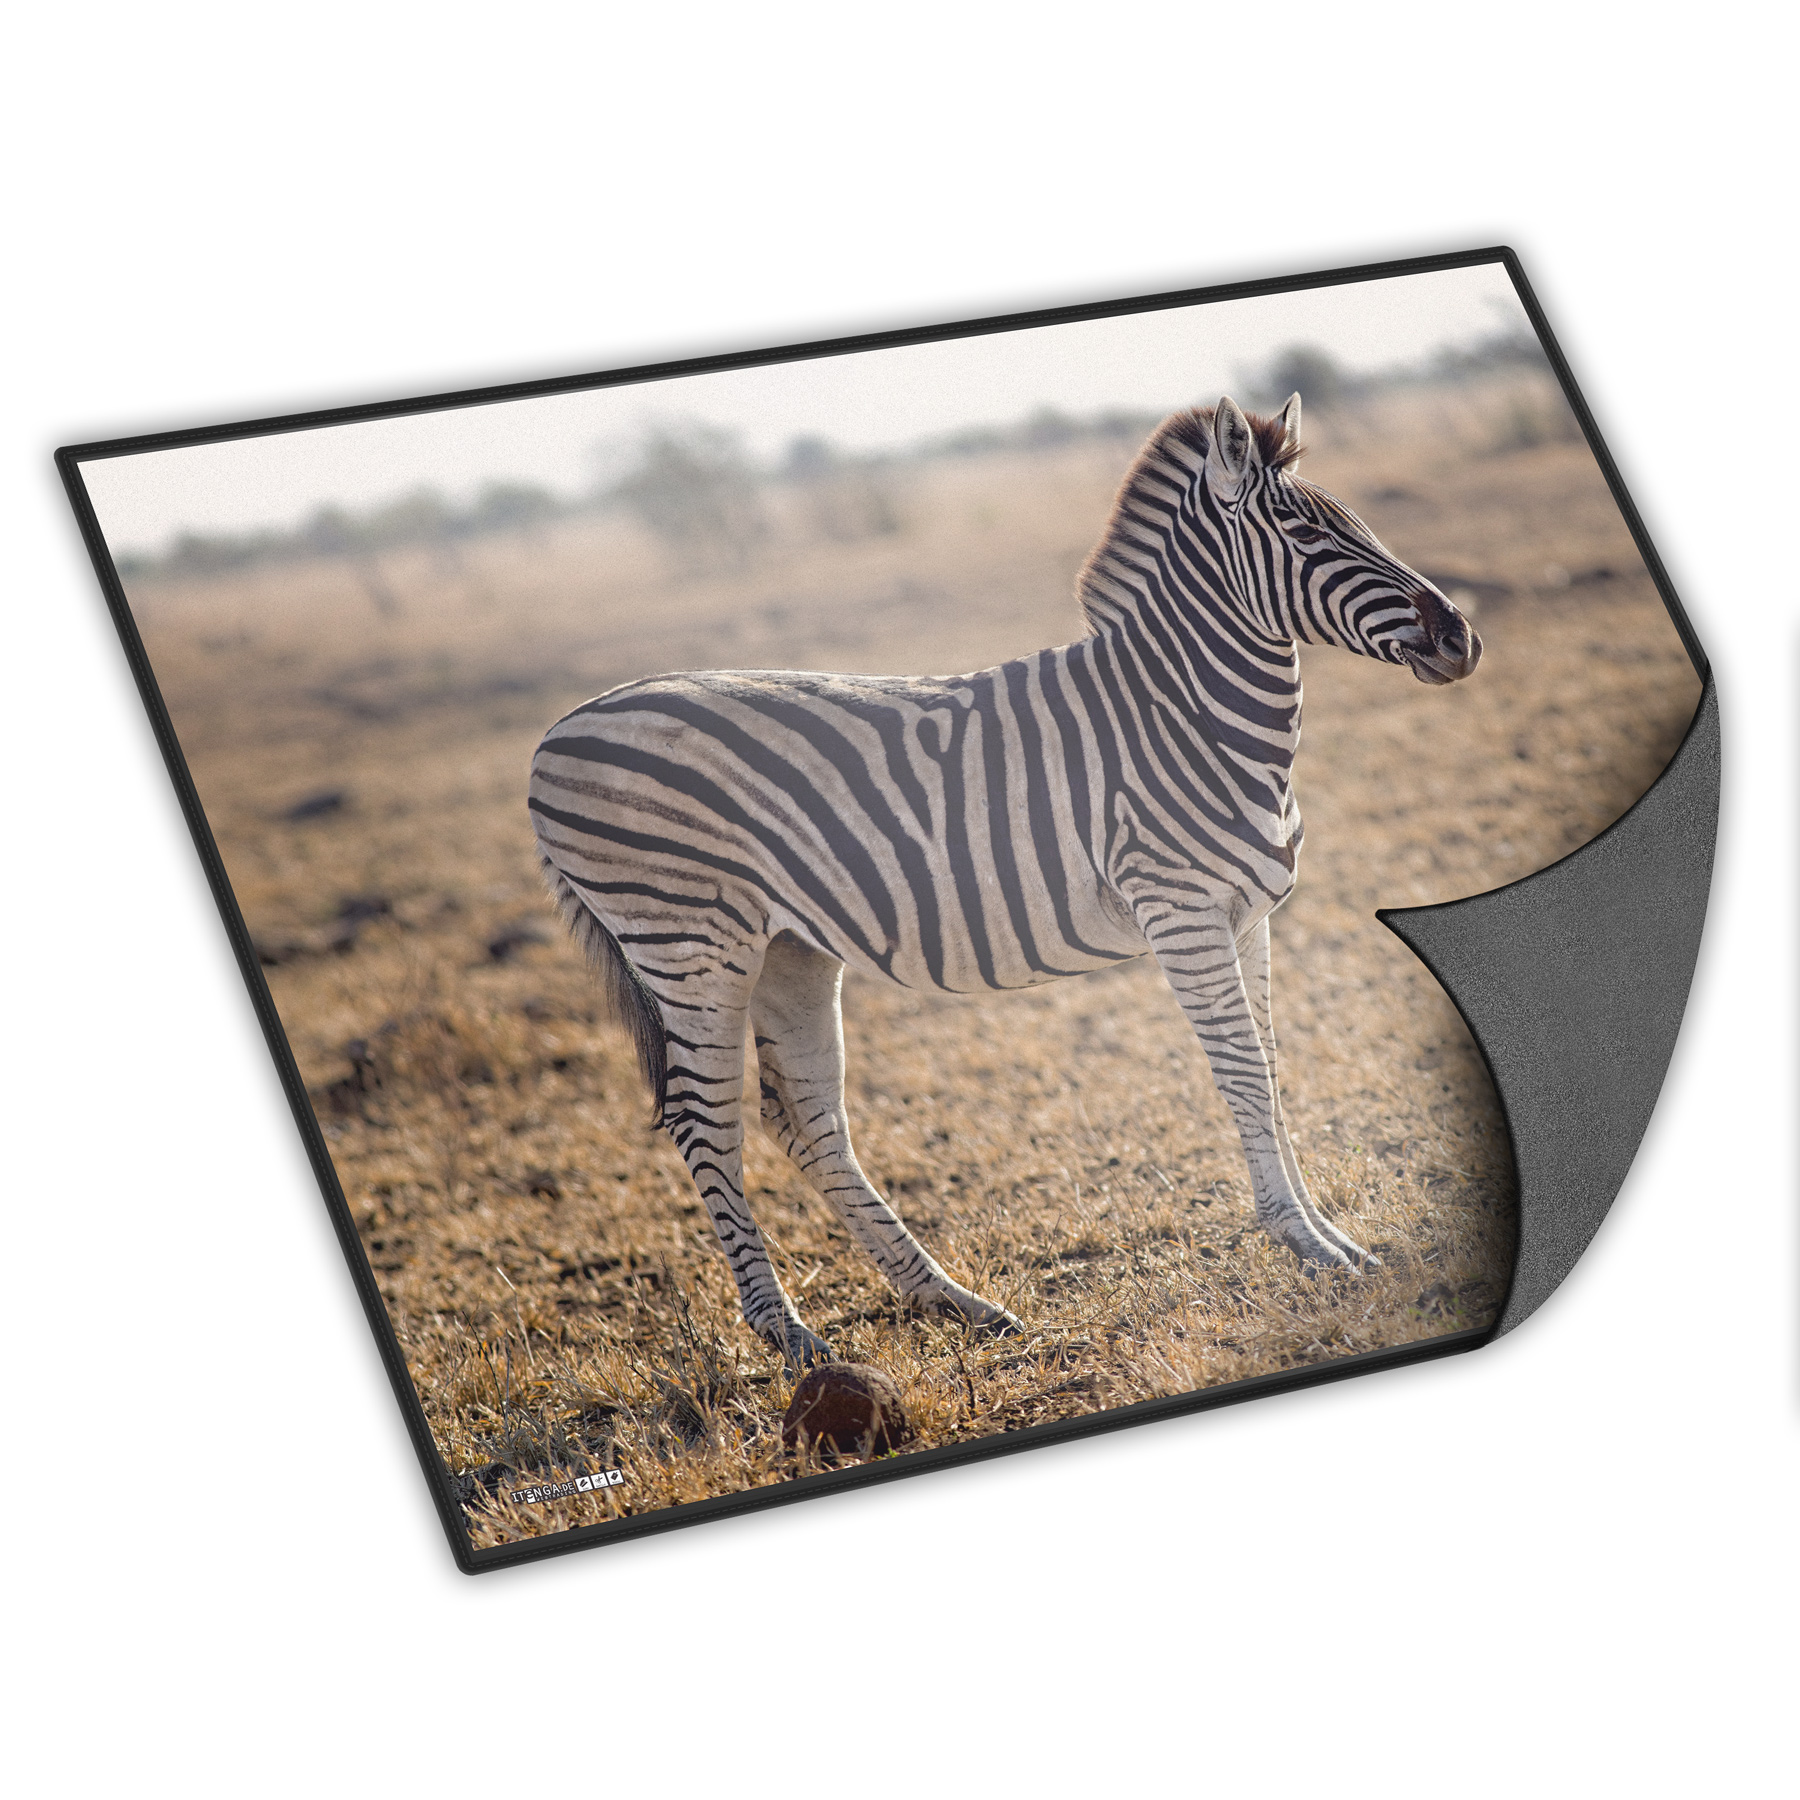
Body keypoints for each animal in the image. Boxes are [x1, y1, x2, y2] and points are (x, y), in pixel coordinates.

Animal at [529, 393, 1482, 1368]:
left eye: (1354, 522)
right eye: (1304, 532)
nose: (1461, 636)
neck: (1184, 715)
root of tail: (557, 731)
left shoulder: (1247, 915)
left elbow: (1273, 1068)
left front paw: (1327, 1235)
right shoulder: (1180, 910)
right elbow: (1244, 1071)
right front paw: (1304, 1243)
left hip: (789, 948)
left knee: (804, 1117)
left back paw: (954, 1303)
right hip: (689, 943)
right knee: (705, 1122)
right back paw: (791, 1335)